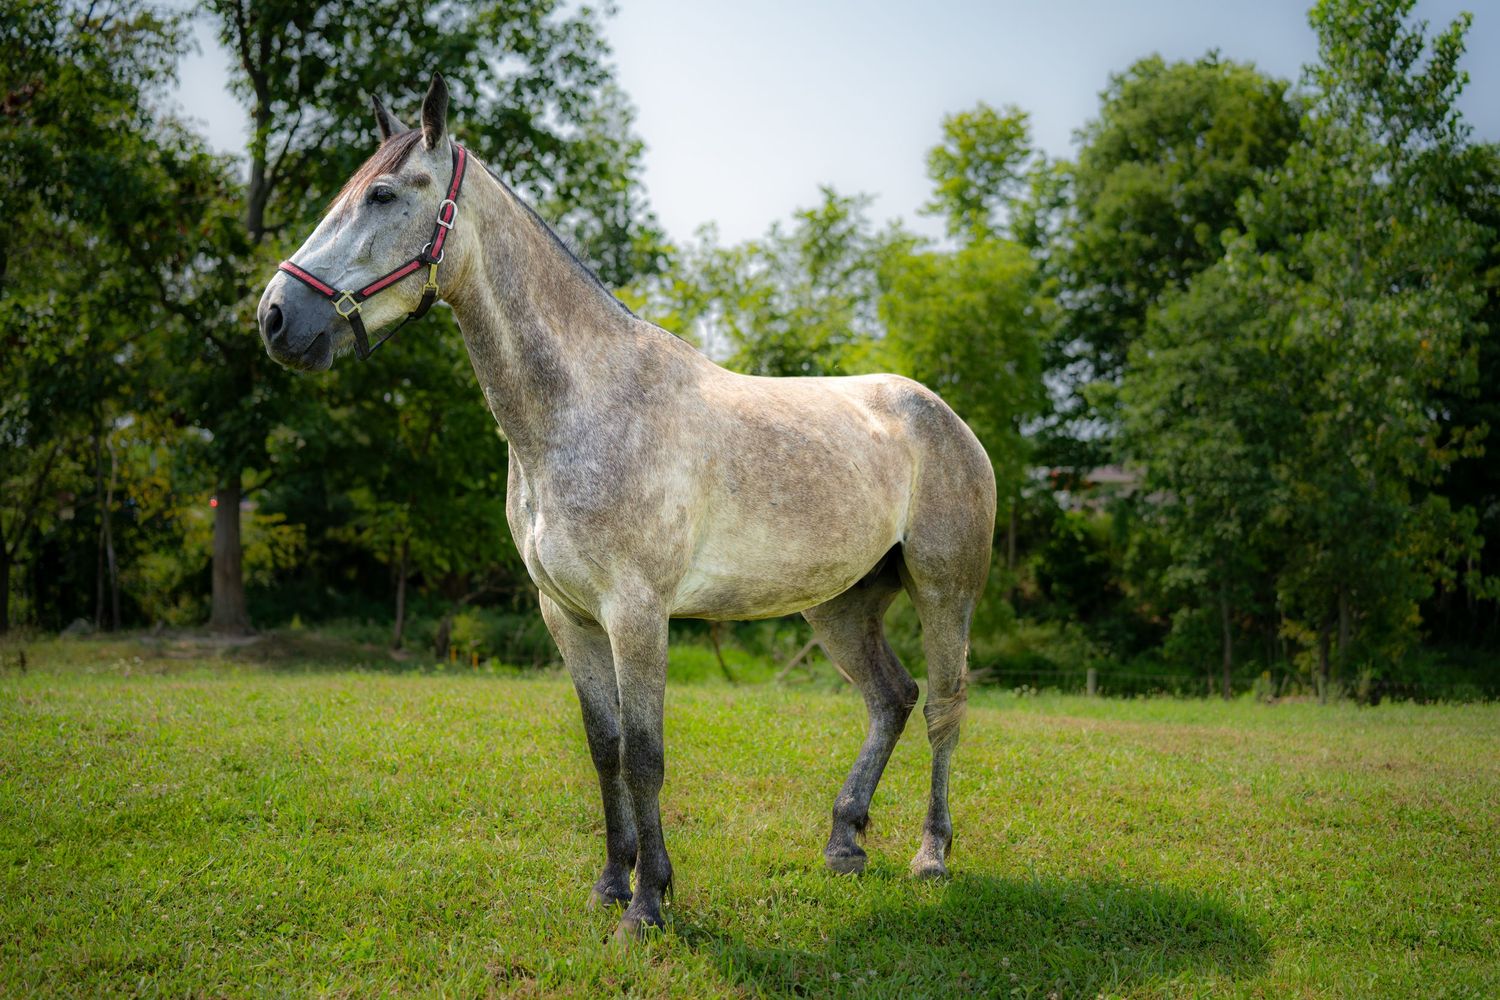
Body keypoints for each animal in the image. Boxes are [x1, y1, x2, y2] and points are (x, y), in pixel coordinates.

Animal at [257, 73, 996, 941]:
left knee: (944, 707)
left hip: (945, 592)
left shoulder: (637, 614)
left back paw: (931, 855)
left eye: (381, 194)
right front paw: (613, 883)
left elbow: (646, 755)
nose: (276, 317)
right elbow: (604, 746)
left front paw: (648, 906)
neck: (580, 408)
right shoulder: (569, 616)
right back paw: (845, 842)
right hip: (839, 606)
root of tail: (940, 414)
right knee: (891, 698)